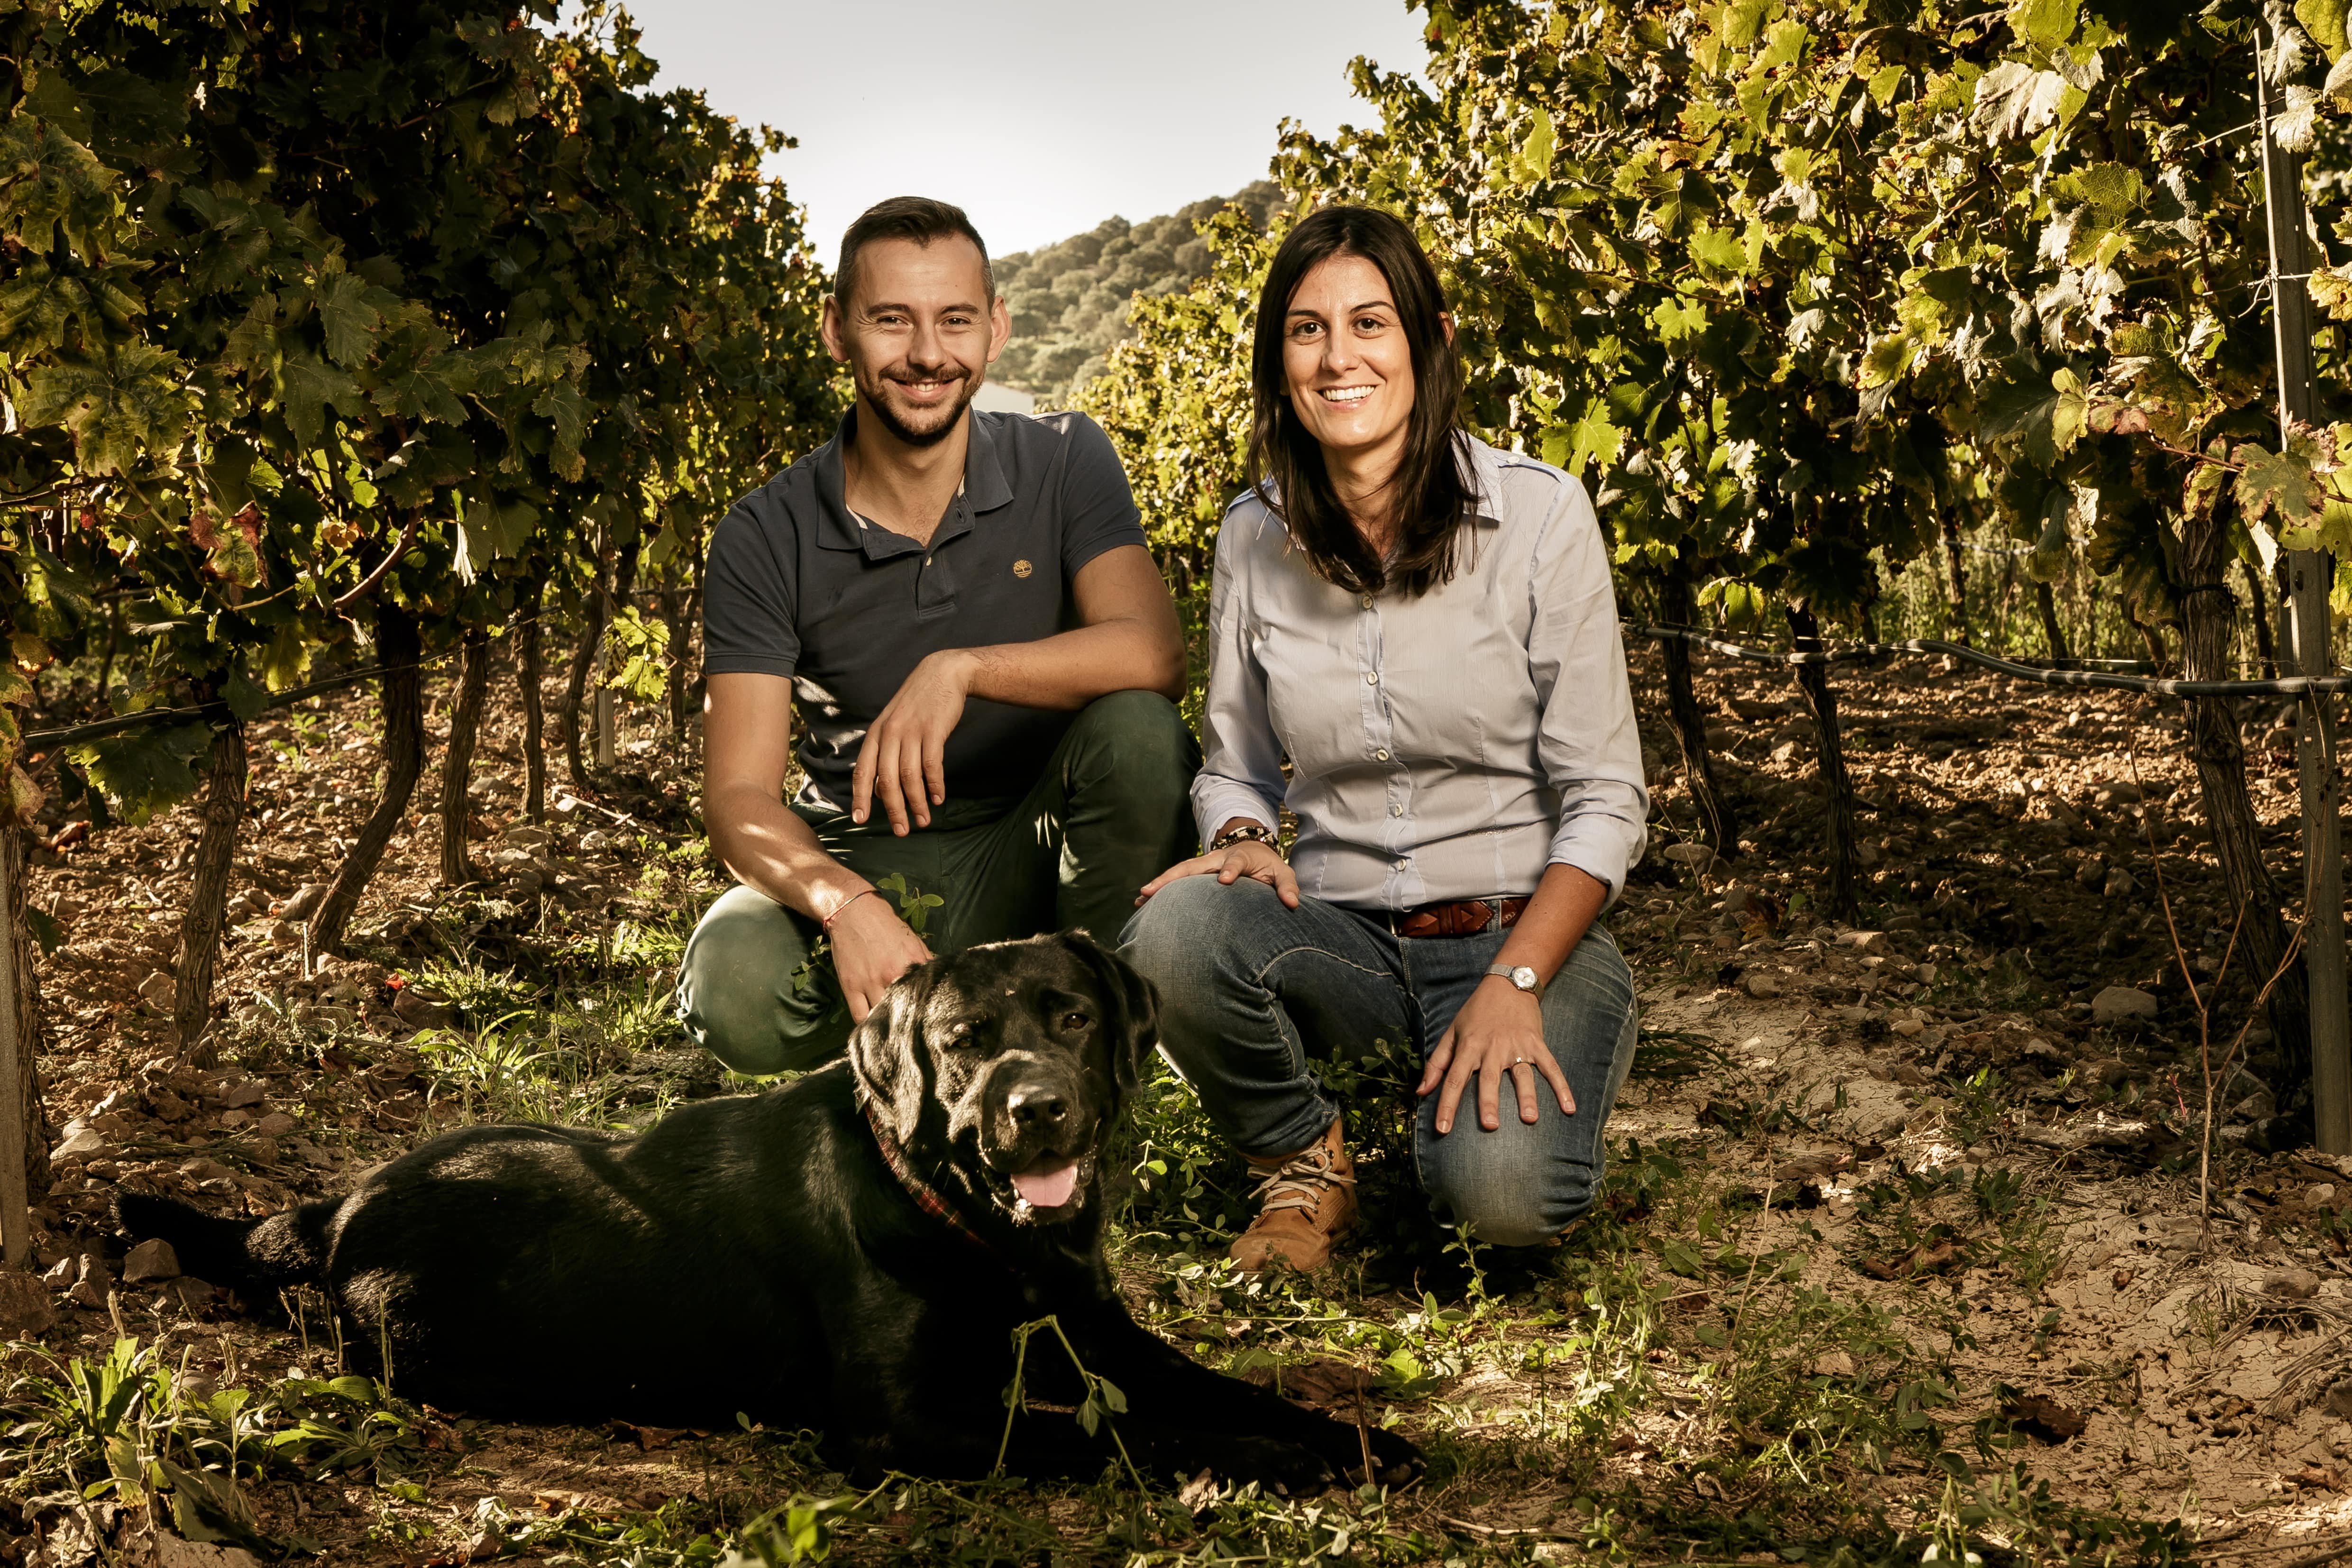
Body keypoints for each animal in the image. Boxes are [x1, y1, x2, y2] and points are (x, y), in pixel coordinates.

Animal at [124, 940, 1411, 1495]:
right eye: (959, 1043)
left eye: (1072, 1016)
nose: (1034, 1110)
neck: (966, 1222)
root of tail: (343, 1197)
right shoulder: (902, 1422)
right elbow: (1108, 1434)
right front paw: (1263, 1462)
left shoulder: (1099, 1333)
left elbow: (1222, 1387)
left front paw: (1348, 1437)